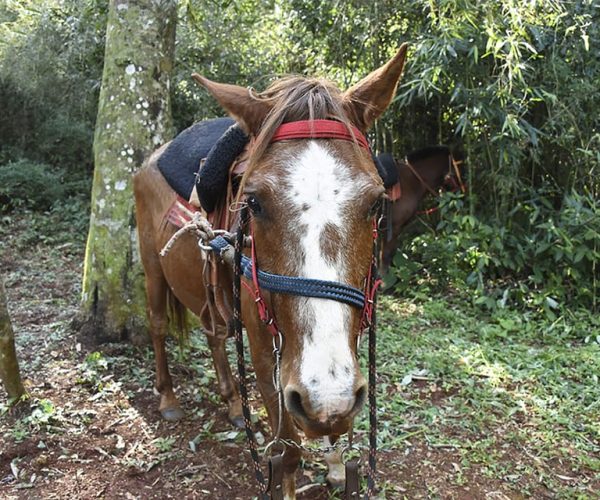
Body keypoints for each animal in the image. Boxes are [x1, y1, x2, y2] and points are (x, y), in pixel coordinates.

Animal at [134, 44, 410, 496]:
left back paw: (232, 402)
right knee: (158, 325)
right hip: (152, 267)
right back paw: (169, 399)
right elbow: (290, 453)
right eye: (254, 202)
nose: (324, 395)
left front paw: (336, 463)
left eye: (375, 202)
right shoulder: (268, 360)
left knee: (214, 334)